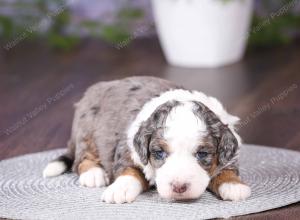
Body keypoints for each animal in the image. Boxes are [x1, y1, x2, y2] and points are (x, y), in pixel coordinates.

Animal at [42, 76, 251, 204]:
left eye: (202, 154)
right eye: (159, 153)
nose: (179, 187)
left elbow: (227, 170)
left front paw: (234, 186)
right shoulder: (128, 149)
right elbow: (129, 170)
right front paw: (119, 189)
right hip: (87, 128)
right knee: (81, 158)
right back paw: (93, 174)